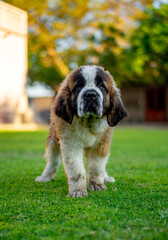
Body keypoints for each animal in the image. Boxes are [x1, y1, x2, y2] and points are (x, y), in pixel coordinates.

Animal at [35, 65, 127, 197]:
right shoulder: (70, 144)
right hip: (53, 139)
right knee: (53, 161)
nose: (91, 95)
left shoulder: (101, 144)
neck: (88, 122)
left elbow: (97, 167)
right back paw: (45, 176)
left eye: (101, 86)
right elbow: (77, 170)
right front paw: (77, 191)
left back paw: (105, 177)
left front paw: (97, 185)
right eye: (78, 86)